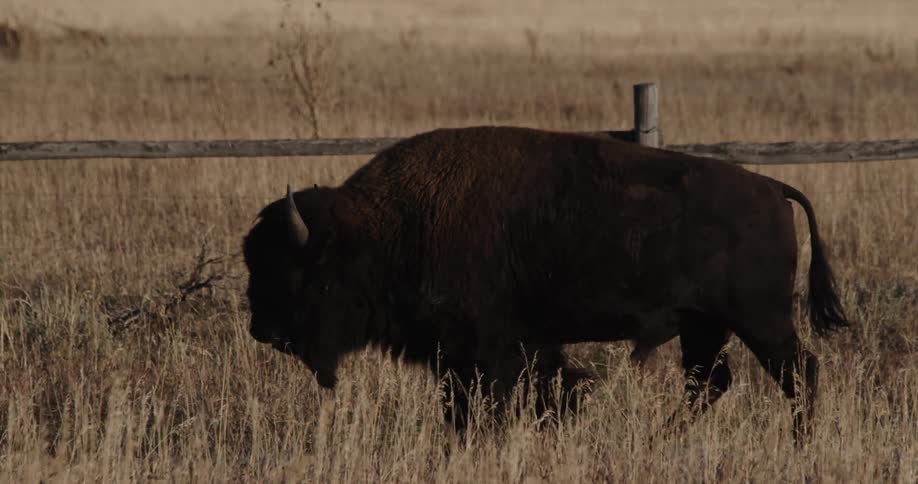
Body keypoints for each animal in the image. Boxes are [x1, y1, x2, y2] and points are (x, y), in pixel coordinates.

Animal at [242, 126, 849, 441]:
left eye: (295, 268)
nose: (261, 330)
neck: (387, 227)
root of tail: (771, 187)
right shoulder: (497, 351)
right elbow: (544, 391)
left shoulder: (485, 352)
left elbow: (493, 403)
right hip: (705, 327)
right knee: (709, 383)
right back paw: (664, 437)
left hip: (760, 322)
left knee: (799, 373)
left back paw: (799, 443)